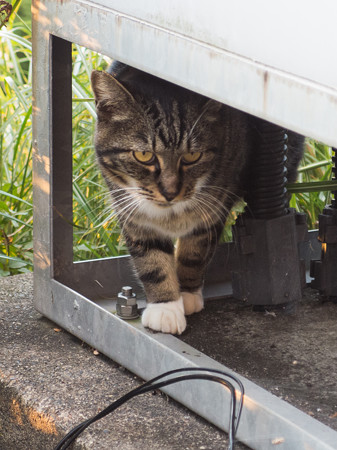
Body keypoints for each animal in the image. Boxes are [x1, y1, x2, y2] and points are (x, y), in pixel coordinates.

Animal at [90, 65, 302, 336]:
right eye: (144, 155)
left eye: (192, 156)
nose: (170, 192)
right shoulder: (130, 207)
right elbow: (152, 261)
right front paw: (166, 306)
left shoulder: (214, 206)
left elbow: (195, 251)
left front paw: (187, 294)